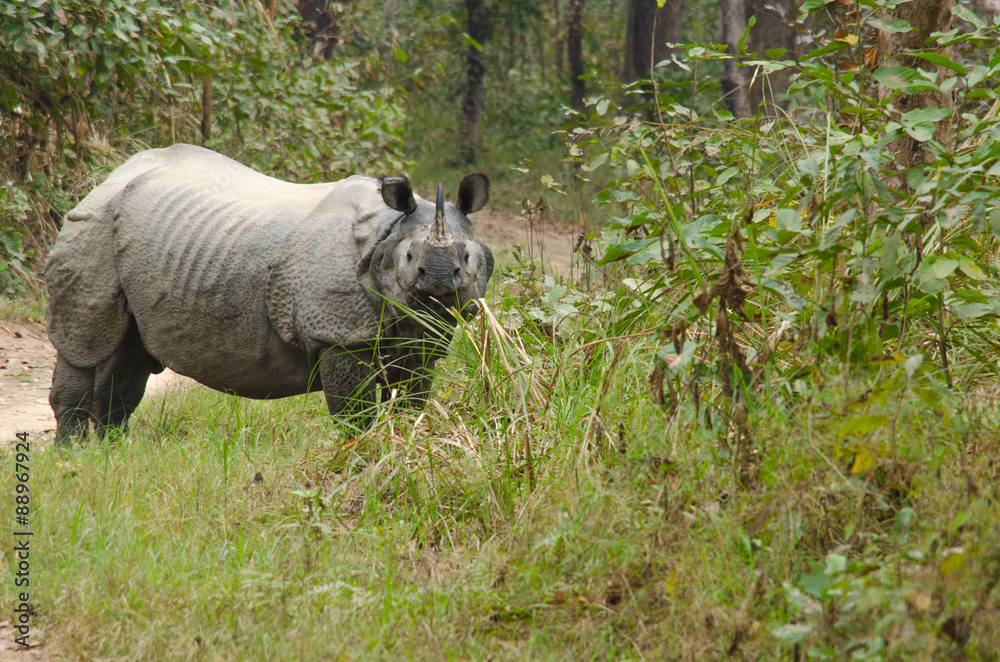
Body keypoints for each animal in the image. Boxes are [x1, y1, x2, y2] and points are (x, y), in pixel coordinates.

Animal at [45, 144, 493, 443]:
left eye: (467, 257)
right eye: (410, 257)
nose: (438, 280)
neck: (387, 232)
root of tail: (110, 177)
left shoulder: (423, 340)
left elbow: (411, 402)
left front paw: (403, 444)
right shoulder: (337, 336)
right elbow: (356, 413)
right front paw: (358, 453)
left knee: (129, 352)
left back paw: (109, 451)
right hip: (93, 226)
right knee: (84, 343)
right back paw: (75, 457)